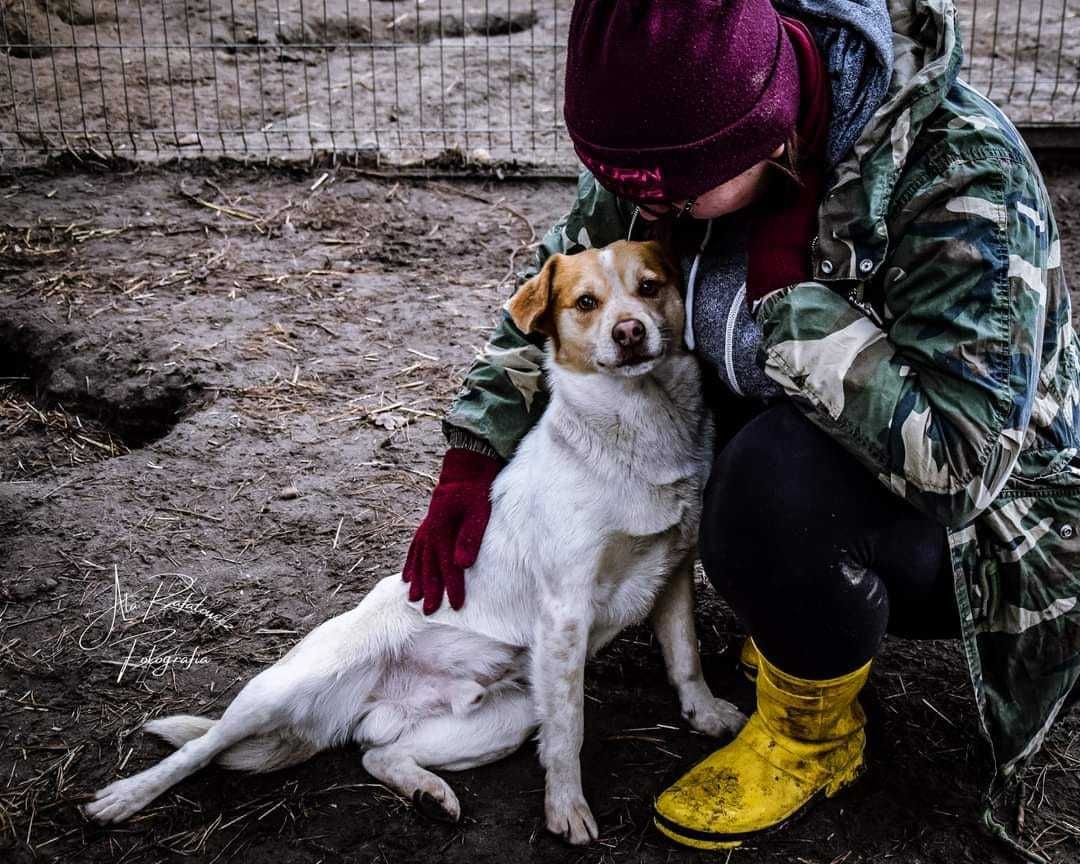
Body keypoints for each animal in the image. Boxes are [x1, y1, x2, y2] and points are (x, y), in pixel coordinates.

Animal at [84, 240, 747, 842]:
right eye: (587, 302)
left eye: (650, 287)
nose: (631, 332)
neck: (638, 431)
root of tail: (366, 708)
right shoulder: (565, 612)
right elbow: (569, 734)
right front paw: (567, 809)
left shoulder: (672, 568)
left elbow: (685, 657)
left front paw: (706, 713)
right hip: (281, 688)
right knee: (203, 747)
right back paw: (127, 795)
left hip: (504, 717)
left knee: (377, 754)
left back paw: (428, 793)